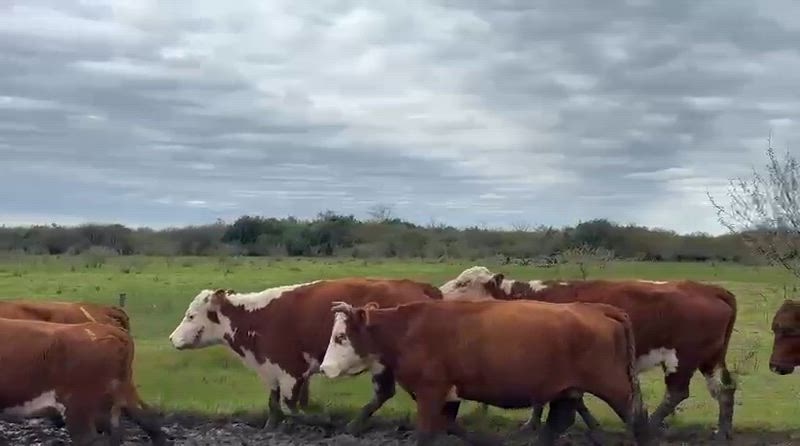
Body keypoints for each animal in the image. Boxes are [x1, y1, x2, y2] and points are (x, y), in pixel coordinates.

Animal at [168, 277, 443, 434]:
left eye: (191, 316)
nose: (171, 339)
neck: (258, 317)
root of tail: (418, 287)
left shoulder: (292, 371)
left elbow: (291, 406)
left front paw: (323, 421)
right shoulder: (271, 369)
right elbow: (274, 402)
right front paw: (270, 427)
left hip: (382, 365)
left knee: (384, 392)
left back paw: (354, 425)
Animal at [319, 299, 652, 446]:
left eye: (341, 337)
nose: (324, 367)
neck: (409, 329)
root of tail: (598, 308)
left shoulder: (430, 392)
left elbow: (426, 433)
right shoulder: (448, 395)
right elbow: (450, 426)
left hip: (615, 389)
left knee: (638, 421)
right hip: (567, 391)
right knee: (556, 424)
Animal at [439, 266, 738, 441]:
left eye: (464, 283)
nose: (438, 293)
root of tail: (709, 289)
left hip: (681, 358)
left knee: (676, 393)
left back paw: (651, 426)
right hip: (711, 358)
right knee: (725, 389)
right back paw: (721, 431)